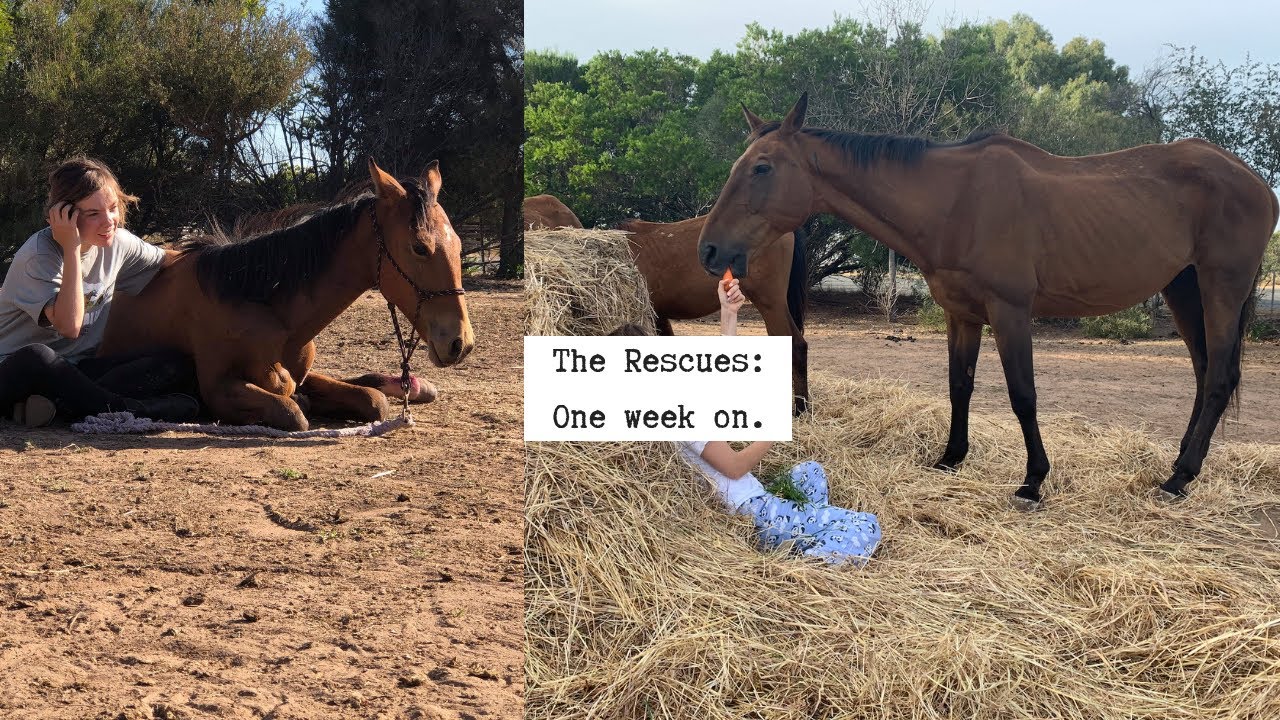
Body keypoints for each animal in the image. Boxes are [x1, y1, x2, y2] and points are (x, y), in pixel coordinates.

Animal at [99, 159, 474, 431]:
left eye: (458, 244)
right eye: (420, 247)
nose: (461, 343)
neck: (258, 302)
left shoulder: (304, 374)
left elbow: (373, 401)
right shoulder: (218, 387)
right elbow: (291, 410)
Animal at [698, 94, 1278, 507]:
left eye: (763, 167)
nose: (709, 250)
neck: (955, 200)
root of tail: (1256, 180)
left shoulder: (1010, 311)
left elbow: (1023, 395)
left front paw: (1034, 480)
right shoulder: (963, 314)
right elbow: (960, 386)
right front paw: (951, 457)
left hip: (1221, 286)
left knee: (1219, 376)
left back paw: (1179, 479)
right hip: (1184, 288)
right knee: (1205, 374)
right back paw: (1181, 466)